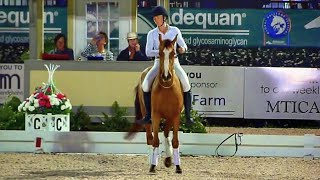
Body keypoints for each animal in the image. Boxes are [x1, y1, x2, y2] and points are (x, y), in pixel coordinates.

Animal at [125, 33, 185, 173]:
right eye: (160, 53)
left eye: (173, 53)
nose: (166, 76)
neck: (167, 88)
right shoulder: (155, 115)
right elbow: (155, 141)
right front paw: (153, 166)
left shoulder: (175, 116)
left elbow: (174, 141)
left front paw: (177, 166)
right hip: (146, 115)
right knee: (150, 138)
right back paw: (152, 160)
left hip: (169, 117)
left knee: (166, 134)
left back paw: (167, 159)